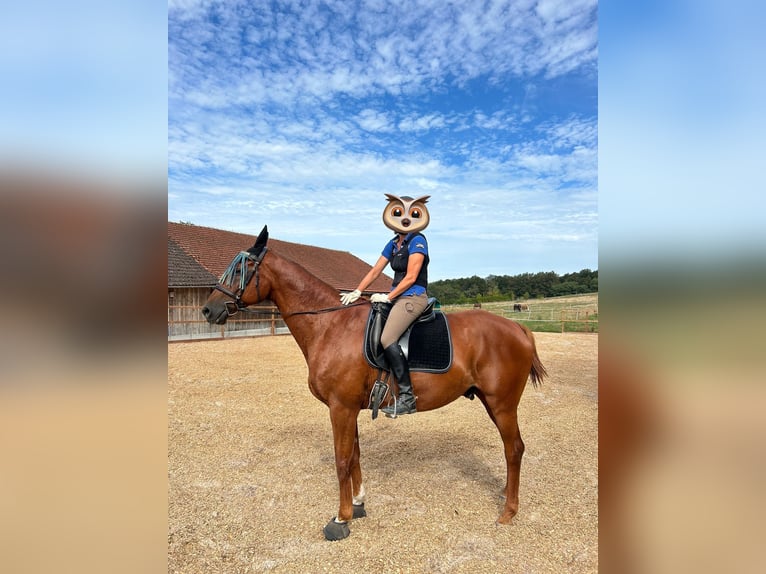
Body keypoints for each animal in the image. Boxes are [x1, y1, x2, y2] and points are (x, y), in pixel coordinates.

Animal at [201, 227, 548, 544]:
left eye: (239, 270)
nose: (208, 309)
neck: (330, 326)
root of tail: (517, 328)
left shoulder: (340, 408)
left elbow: (342, 460)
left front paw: (340, 519)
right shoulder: (348, 407)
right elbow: (354, 455)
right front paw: (357, 503)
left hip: (502, 404)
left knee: (515, 448)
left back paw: (509, 511)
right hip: (492, 402)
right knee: (511, 449)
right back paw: (506, 493)